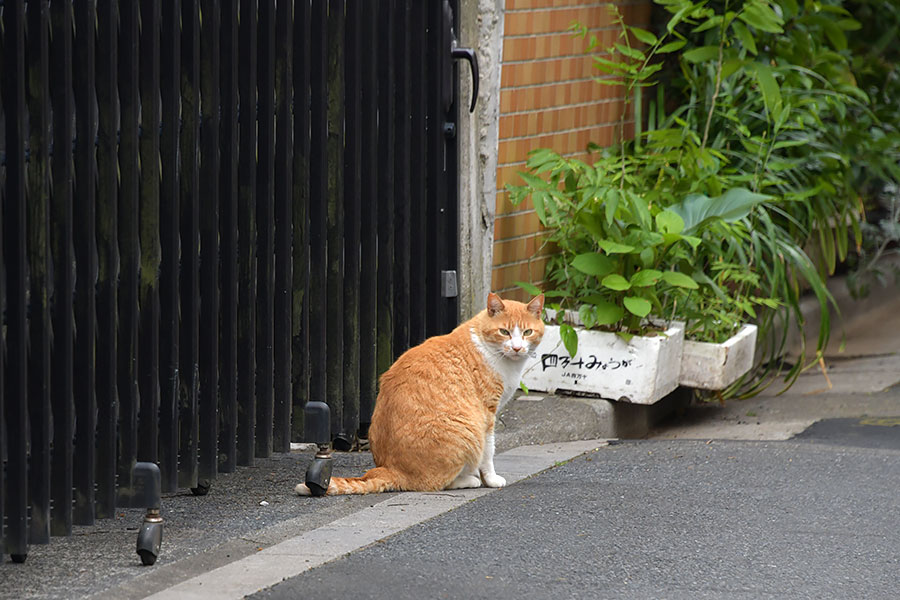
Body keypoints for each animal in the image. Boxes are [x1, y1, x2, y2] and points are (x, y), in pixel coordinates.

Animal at [298, 292, 544, 494]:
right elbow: (489, 452)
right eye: (504, 332)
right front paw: (491, 480)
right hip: (469, 429)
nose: (517, 348)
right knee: (433, 484)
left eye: (527, 332)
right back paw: (468, 480)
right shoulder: (487, 414)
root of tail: (390, 469)